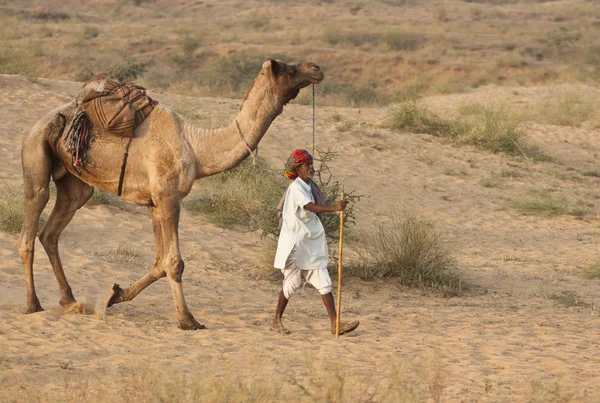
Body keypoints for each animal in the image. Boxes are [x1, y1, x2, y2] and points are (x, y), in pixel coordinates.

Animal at [18, 60, 324, 332]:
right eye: (290, 69)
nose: (316, 68)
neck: (197, 148)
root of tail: (35, 125)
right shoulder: (168, 197)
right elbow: (174, 263)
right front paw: (188, 320)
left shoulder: (155, 203)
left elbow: (159, 263)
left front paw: (115, 295)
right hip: (35, 149)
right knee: (31, 222)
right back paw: (33, 304)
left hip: (75, 181)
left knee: (53, 229)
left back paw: (70, 300)